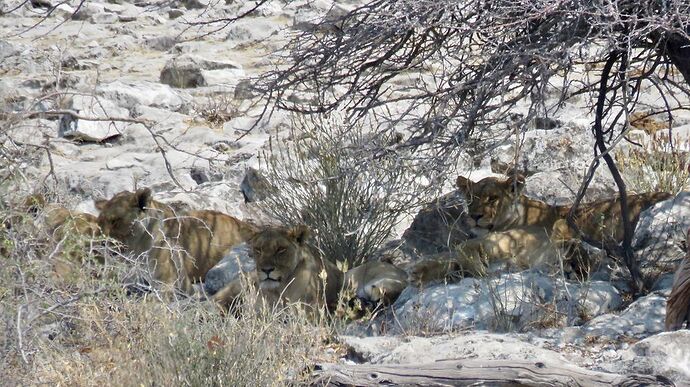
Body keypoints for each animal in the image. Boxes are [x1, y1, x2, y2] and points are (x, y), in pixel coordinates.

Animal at [408, 176, 668, 284]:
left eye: (492, 198)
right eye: (471, 199)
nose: (474, 216)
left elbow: (454, 252)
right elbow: (446, 256)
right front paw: (419, 270)